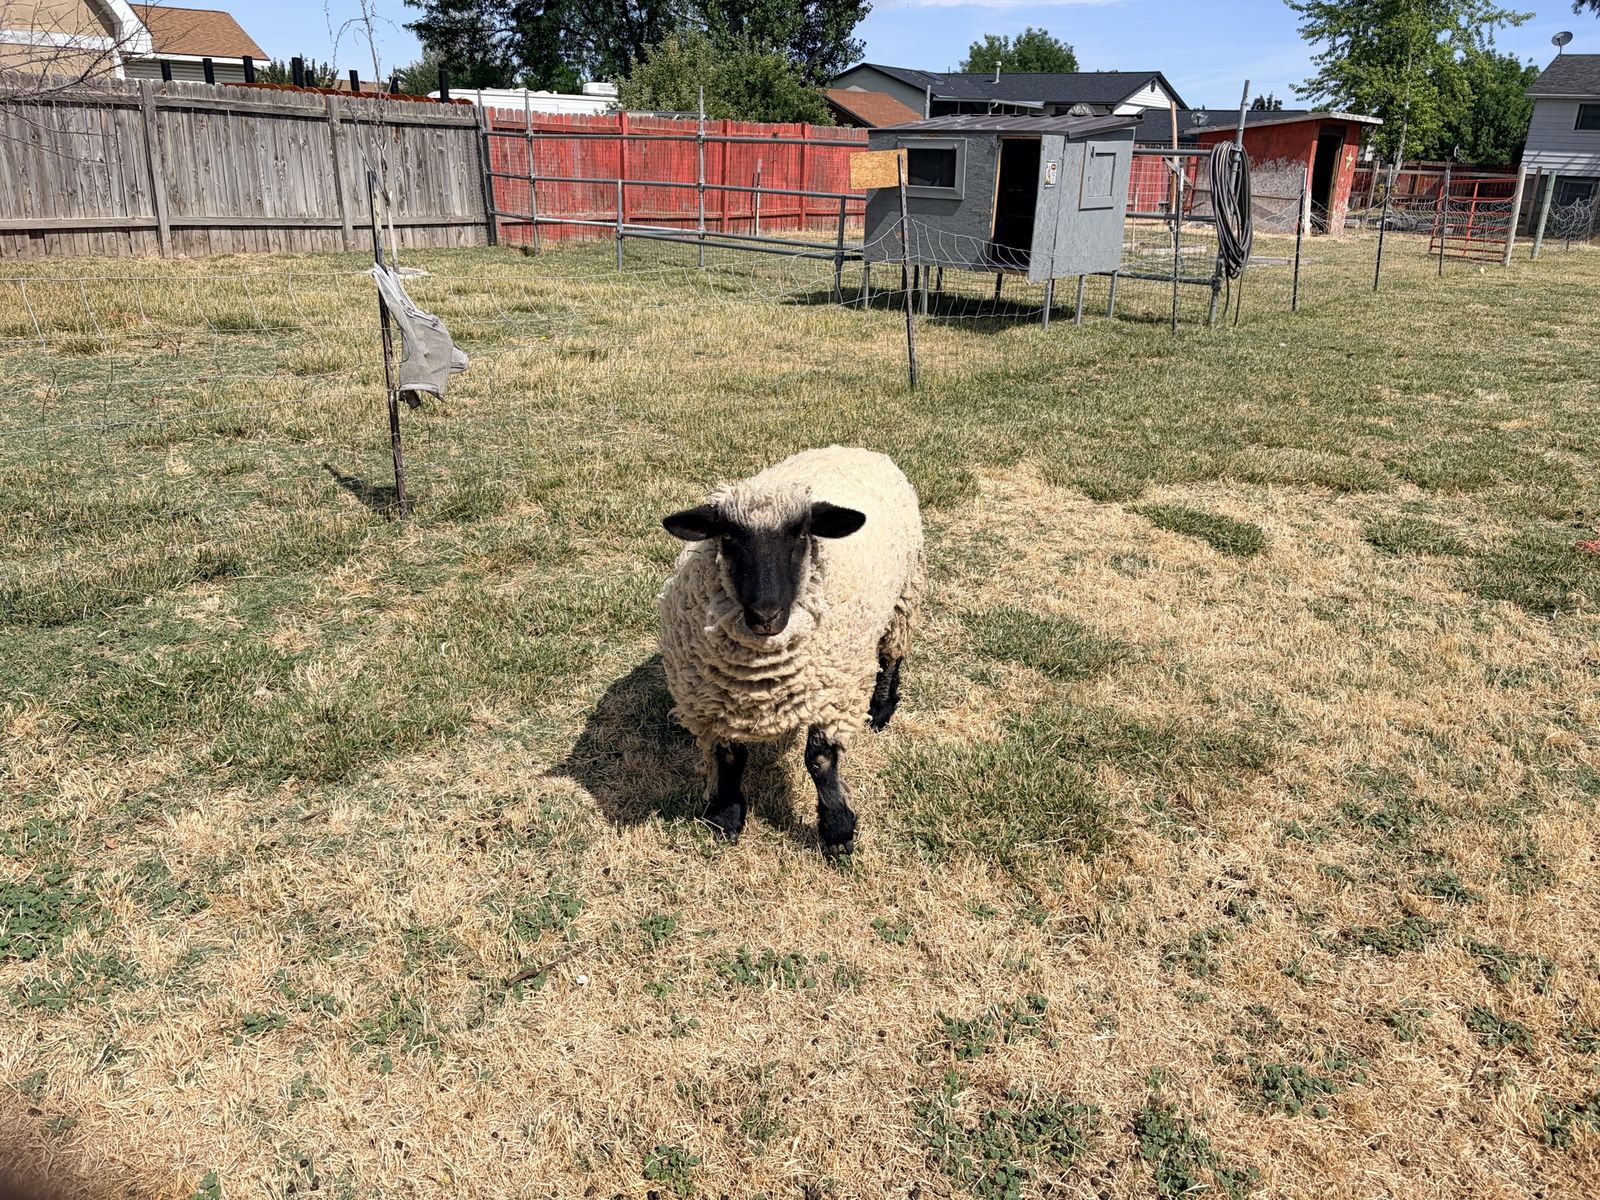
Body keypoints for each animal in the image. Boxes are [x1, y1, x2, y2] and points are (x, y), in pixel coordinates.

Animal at [658, 446, 924, 857]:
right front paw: (727, 816)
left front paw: (837, 829)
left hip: (904, 594)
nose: (766, 615)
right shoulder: (719, 700)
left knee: (892, 653)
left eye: (800, 534)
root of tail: (854, 447)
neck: (762, 672)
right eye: (728, 536)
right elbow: (730, 756)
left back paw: (880, 709)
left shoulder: (834, 691)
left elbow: (820, 760)